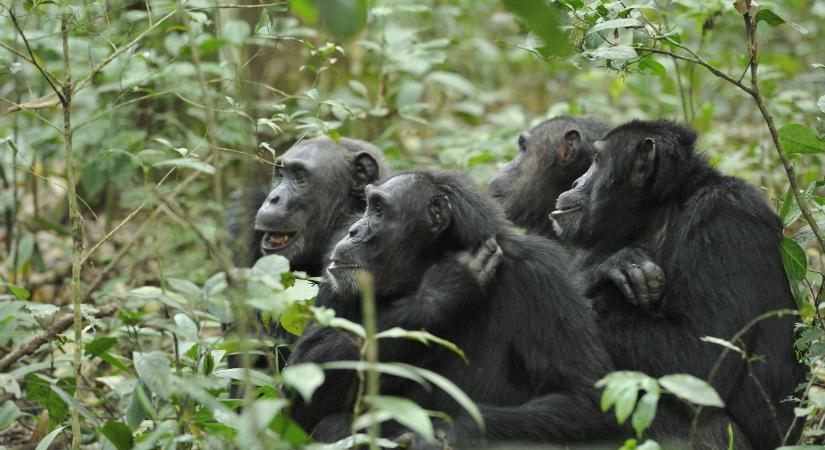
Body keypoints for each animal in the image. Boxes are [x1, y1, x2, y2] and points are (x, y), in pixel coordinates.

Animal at [284, 171, 616, 446]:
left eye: (378, 209)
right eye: (367, 206)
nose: (352, 230)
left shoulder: (540, 276)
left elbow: (582, 398)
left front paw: (448, 433)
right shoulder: (334, 278)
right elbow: (305, 376)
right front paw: (445, 288)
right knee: (333, 422)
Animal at [552, 118, 800, 448]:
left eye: (595, 159)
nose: (575, 183)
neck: (657, 212)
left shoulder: (724, 222)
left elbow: (699, 356)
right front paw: (611, 267)